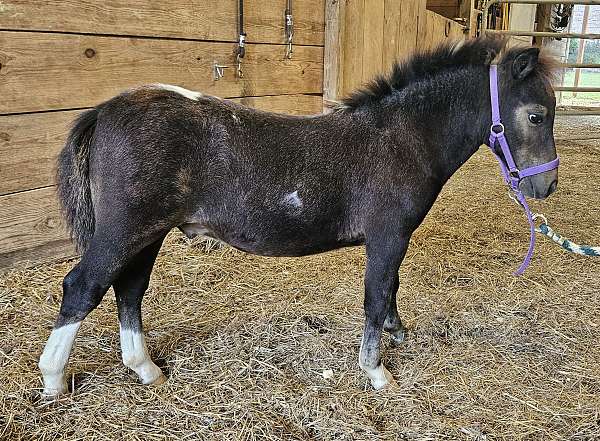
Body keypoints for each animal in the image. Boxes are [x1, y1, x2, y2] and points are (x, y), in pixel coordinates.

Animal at [39, 38, 560, 396]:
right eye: (536, 115)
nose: (547, 185)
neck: (400, 137)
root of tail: (106, 110)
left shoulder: (393, 239)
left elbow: (390, 289)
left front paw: (396, 335)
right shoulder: (388, 235)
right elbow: (376, 295)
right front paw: (377, 373)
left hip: (148, 232)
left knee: (129, 289)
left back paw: (146, 369)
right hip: (126, 229)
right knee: (83, 287)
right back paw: (53, 379)